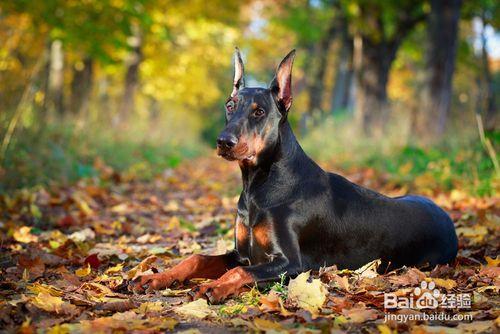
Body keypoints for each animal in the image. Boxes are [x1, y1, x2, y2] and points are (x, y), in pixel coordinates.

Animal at [131, 49, 458, 302]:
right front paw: (155, 277)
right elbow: (197, 258)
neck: (259, 186)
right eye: (229, 105)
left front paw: (215, 287)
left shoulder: (292, 264)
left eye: (259, 111)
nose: (223, 142)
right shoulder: (243, 252)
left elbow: (240, 271)